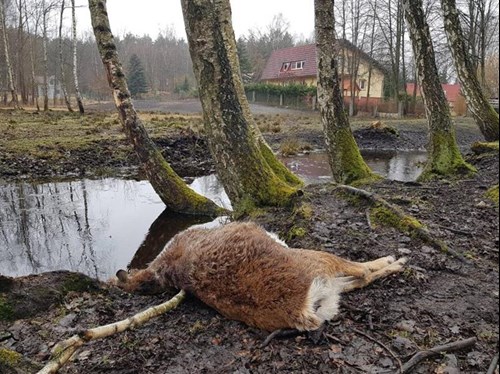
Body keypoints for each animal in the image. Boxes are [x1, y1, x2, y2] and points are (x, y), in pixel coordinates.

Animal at [115, 221, 408, 332]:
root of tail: (298, 309)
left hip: (326, 283)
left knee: (354, 281)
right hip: (315, 260)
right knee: (362, 271)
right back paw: (396, 261)